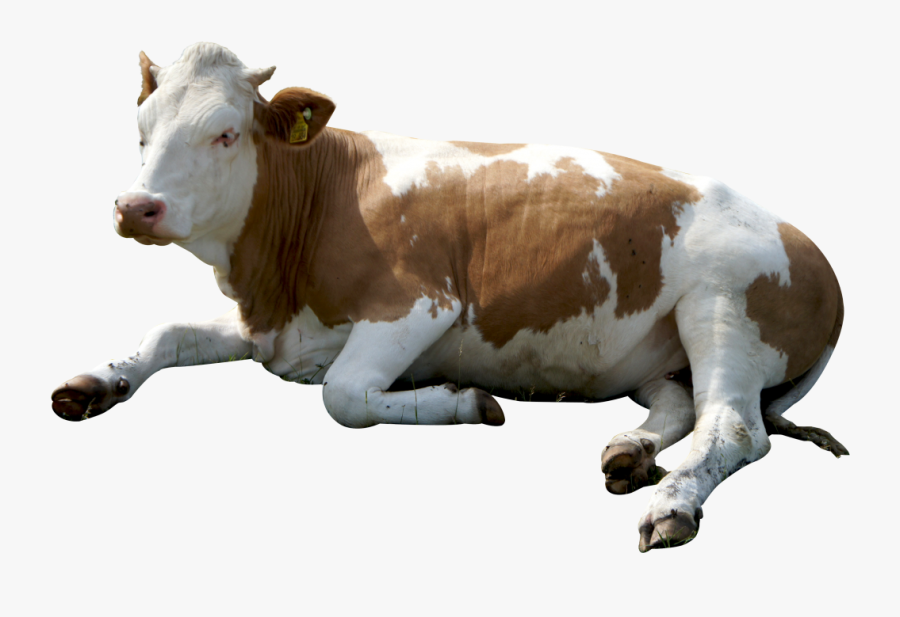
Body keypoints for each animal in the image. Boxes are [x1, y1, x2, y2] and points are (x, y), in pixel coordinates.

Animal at [51, 43, 846, 551]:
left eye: (224, 134)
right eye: (141, 131)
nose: (135, 207)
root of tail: (811, 249)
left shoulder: (421, 304)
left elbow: (342, 395)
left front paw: (464, 401)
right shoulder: (274, 325)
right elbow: (165, 332)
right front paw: (93, 382)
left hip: (725, 308)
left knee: (735, 428)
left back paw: (673, 502)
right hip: (660, 350)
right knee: (681, 405)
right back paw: (629, 451)